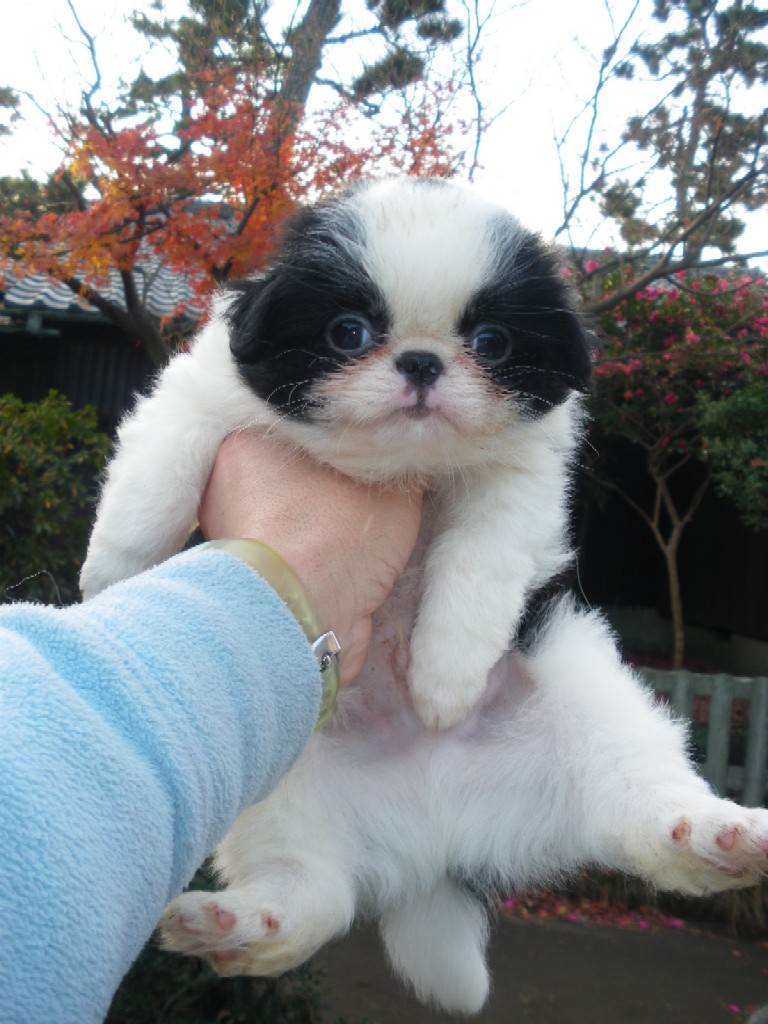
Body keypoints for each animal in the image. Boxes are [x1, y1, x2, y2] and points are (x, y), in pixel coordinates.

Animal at [81, 178, 768, 1012]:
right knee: (313, 895)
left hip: (592, 696)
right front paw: (112, 576)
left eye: (493, 343)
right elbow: (158, 475)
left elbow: (475, 569)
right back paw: (240, 925)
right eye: (347, 333)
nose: (420, 361)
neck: (400, 468)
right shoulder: (198, 396)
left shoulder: (516, 482)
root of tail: (434, 844)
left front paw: (445, 682)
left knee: (643, 809)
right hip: (278, 779)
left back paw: (716, 837)